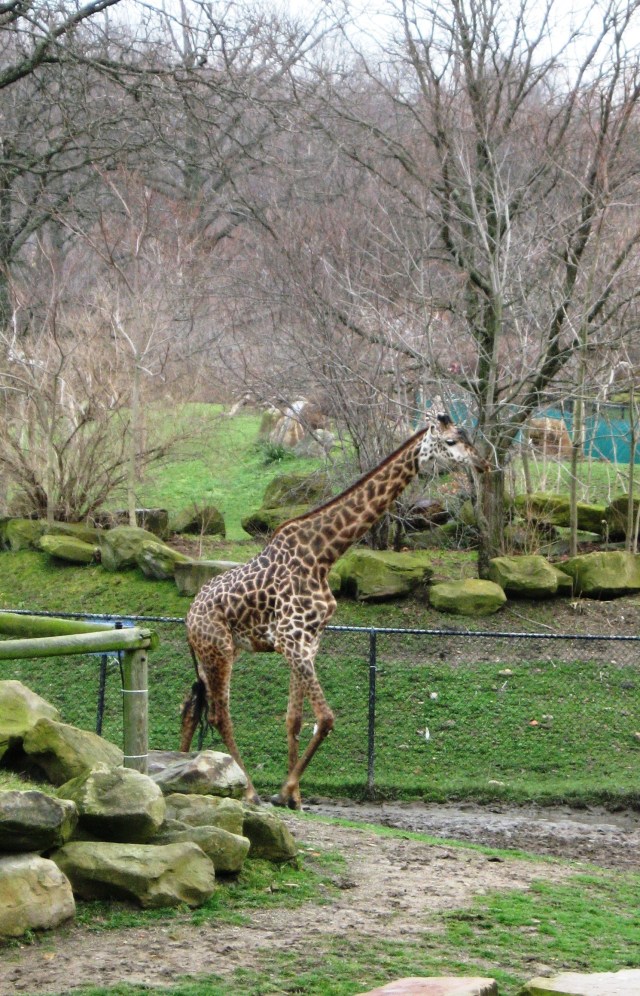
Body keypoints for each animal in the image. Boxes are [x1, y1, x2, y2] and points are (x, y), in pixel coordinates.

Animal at [180, 412, 490, 809]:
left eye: (467, 438)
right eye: (451, 442)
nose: (481, 464)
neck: (323, 556)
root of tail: (189, 616)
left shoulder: (307, 643)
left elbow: (294, 719)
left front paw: (294, 796)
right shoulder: (292, 640)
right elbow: (326, 719)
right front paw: (284, 791)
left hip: (215, 654)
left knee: (192, 706)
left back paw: (181, 767)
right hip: (219, 651)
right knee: (219, 714)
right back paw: (248, 790)